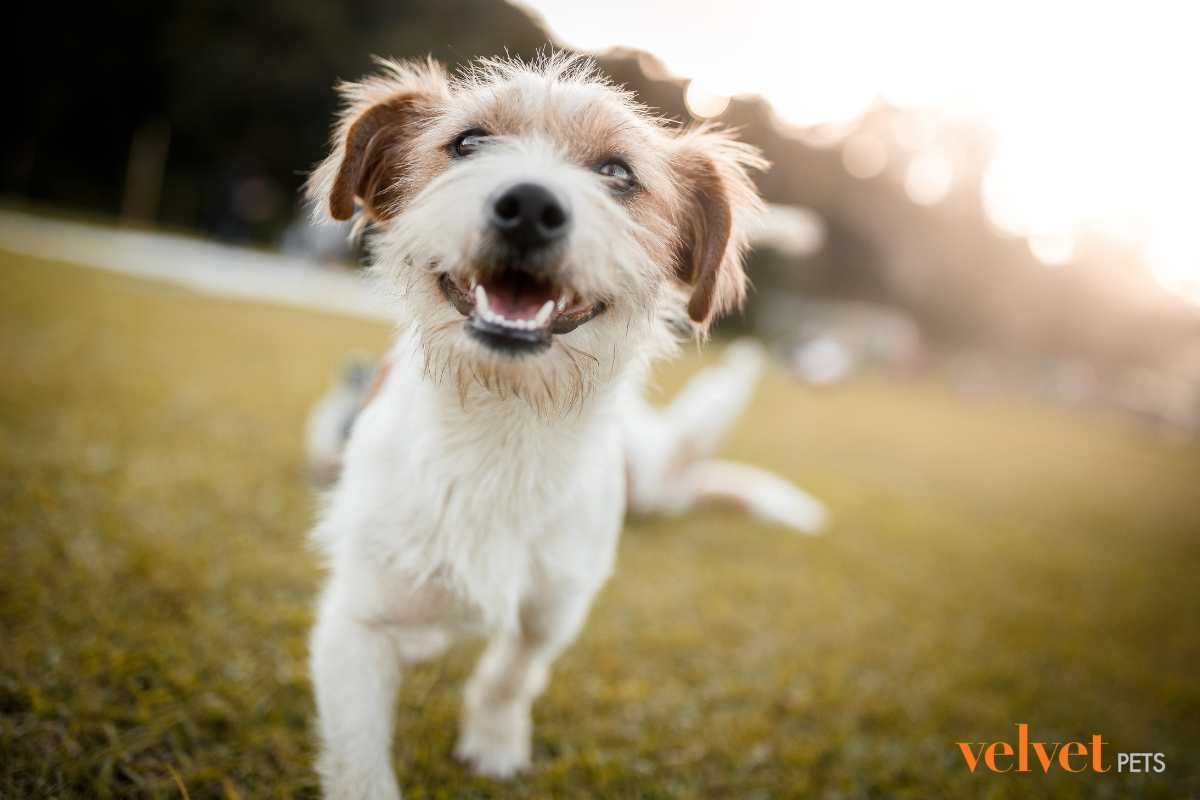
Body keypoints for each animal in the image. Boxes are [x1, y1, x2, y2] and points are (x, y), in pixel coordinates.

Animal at [304, 53, 825, 796]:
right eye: (468, 142)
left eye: (617, 172)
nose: (528, 206)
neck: (504, 421)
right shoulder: (356, 620)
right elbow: (359, 759)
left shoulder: (557, 602)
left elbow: (513, 672)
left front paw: (494, 740)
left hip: (647, 477)